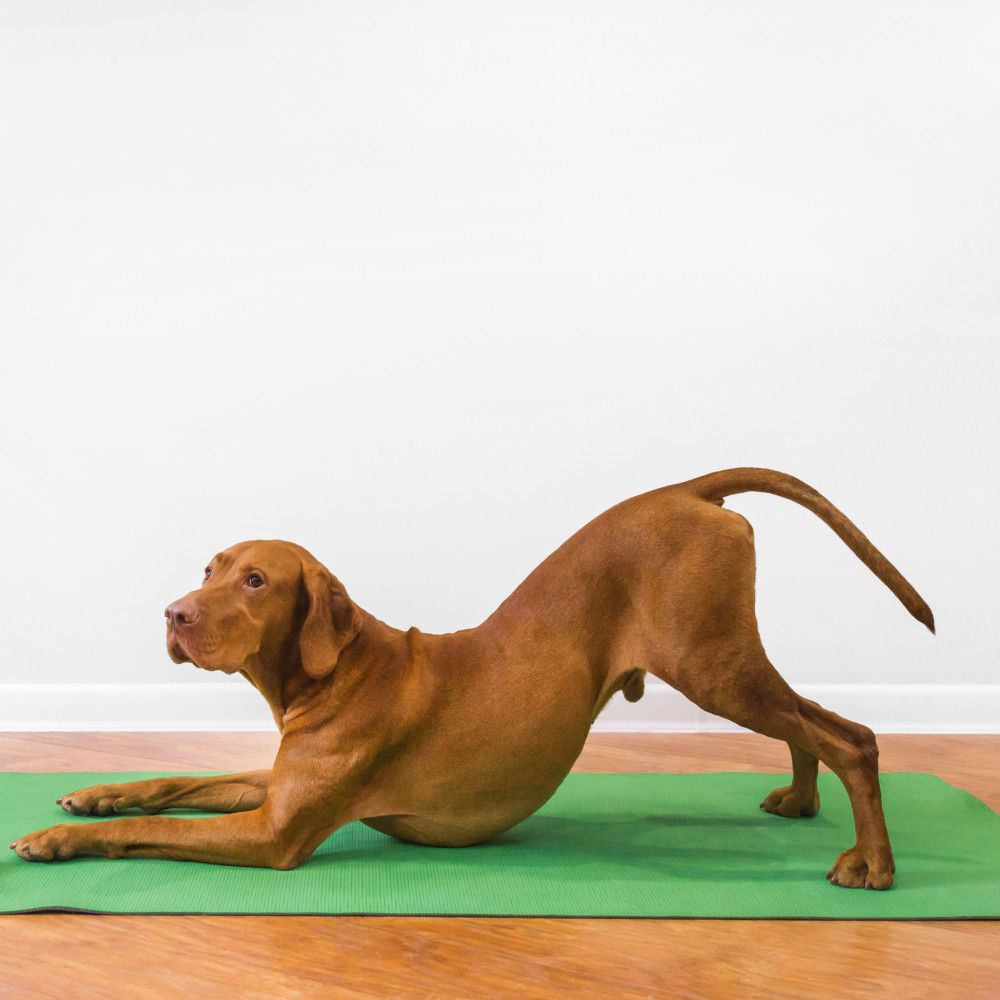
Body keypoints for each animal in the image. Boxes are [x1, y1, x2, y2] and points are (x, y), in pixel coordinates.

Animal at [7, 468, 932, 892]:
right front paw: (93, 795)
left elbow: (158, 828)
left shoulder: (276, 836)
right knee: (820, 723)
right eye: (209, 568)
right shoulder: (273, 789)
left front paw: (54, 841)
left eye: (257, 581)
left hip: (712, 667)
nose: (172, 614)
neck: (330, 673)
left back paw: (875, 866)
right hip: (725, 660)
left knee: (852, 738)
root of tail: (688, 489)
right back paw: (802, 802)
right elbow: (174, 783)